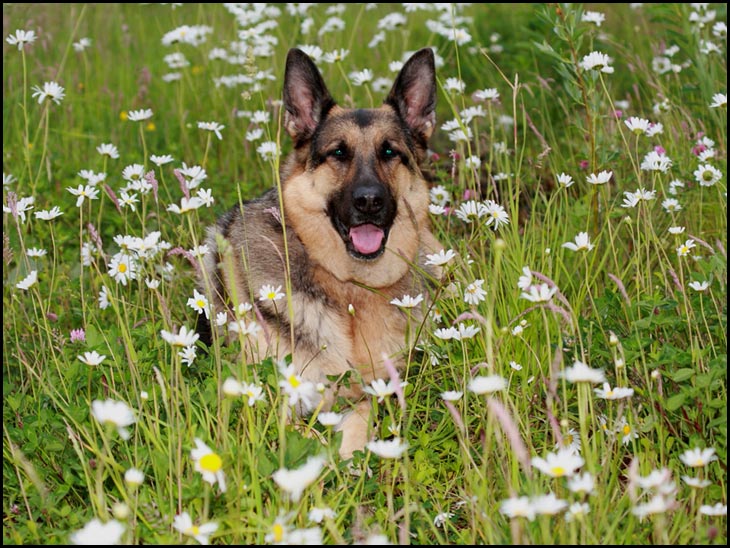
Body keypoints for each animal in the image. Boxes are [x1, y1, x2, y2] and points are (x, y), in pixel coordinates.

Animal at [196, 48, 440, 458]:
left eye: (390, 152)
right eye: (338, 153)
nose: (369, 202)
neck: (349, 287)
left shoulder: (376, 387)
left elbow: (360, 414)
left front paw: (350, 454)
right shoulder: (264, 400)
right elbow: (308, 438)